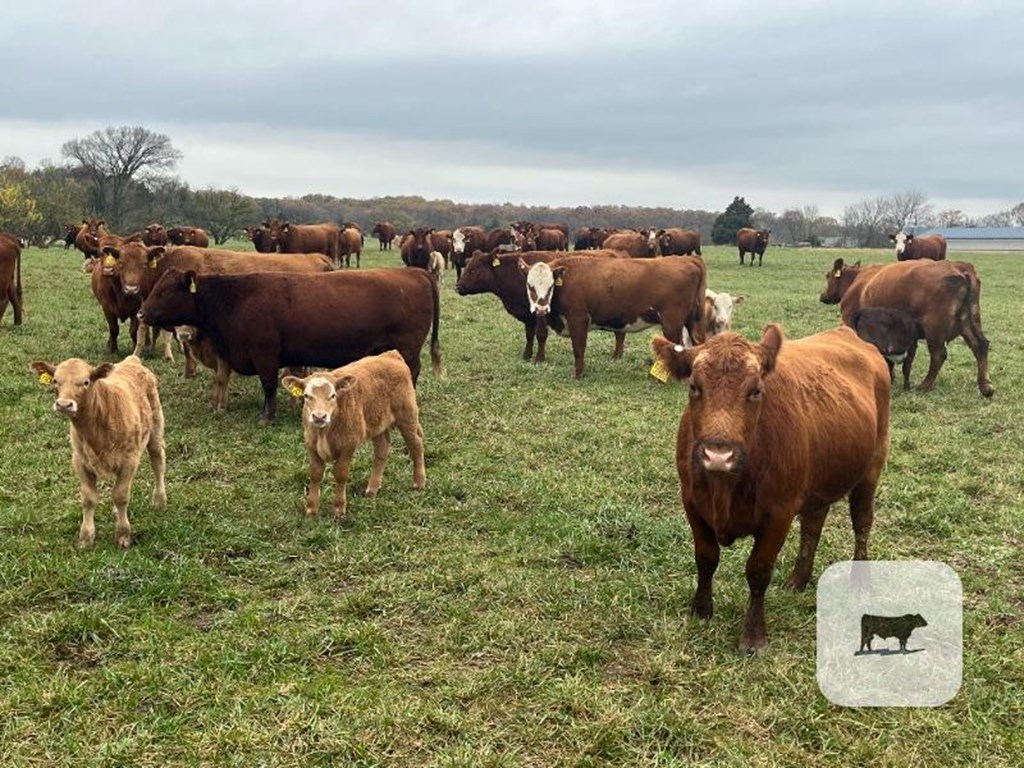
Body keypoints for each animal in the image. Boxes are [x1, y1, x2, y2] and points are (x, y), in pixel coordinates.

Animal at [138, 264, 442, 421]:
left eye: (165, 291)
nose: (141, 313)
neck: (234, 299)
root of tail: (415, 271)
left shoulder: (265, 354)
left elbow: (269, 385)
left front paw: (267, 415)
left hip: (408, 348)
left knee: (412, 372)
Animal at [280, 352, 423, 520]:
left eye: (333, 395)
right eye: (307, 396)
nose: (319, 417)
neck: (324, 432)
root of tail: (391, 355)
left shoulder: (348, 444)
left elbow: (340, 473)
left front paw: (338, 509)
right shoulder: (311, 444)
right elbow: (315, 473)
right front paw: (311, 510)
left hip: (407, 416)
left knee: (416, 445)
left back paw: (419, 483)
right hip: (378, 423)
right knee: (382, 449)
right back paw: (372, 489)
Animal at [524, 253, 708, 376]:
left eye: (550, 286)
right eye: (529, 285)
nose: (541, 309)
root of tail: (688, 259)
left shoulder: (578, 319)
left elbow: (578, 348)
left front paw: (578, 374)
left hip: (672, 324)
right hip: (693, 322)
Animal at [655, 325, 888, 655]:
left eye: (755, 391)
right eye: (694, 387)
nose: (718, 455)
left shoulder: (779, 513)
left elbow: (758, 571)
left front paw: (753, 636)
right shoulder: (692, 503)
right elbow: (705, 558)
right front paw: (701, 610)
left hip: (871, 467)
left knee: (862, 521)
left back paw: (860, 579)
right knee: (813, 524)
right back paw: (799, 579)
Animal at [815, 262, 991, 399]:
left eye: (828, 275)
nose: (822, 296)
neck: (856, 282)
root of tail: (959, 267)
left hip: (934, 329)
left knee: (938, 355)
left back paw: (925, 385)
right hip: (968, 321)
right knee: (980, 345)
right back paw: (985, 386)